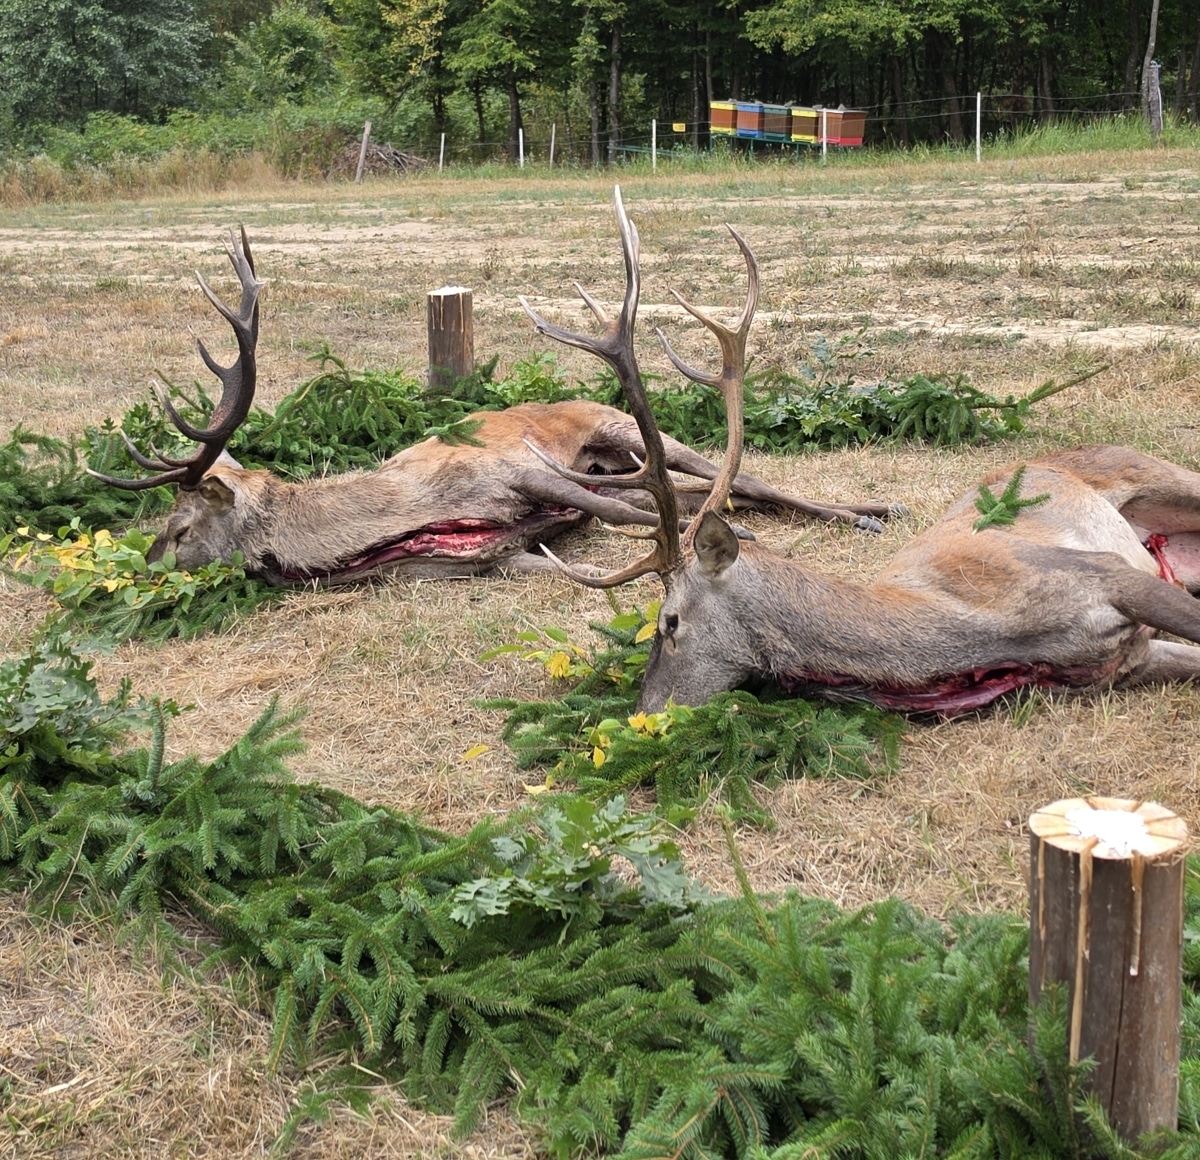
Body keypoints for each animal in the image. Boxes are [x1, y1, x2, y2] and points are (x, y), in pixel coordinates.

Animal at [91, 225, 900, 586]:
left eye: (179, 527)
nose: (142, 563)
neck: (408, 518)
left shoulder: (518, 471)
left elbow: (632, 513)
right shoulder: (495, 558)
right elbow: (618, 521)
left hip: (623, 430)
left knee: (741, 476)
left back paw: (869, 511)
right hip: (615, 456)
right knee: (698, 488)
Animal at [522, 190, 1200, 718]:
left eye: (669, 622)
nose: (643, 713)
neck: (982, 633)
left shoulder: (1100, 573)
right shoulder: (1130, 660)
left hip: (1158, 474)